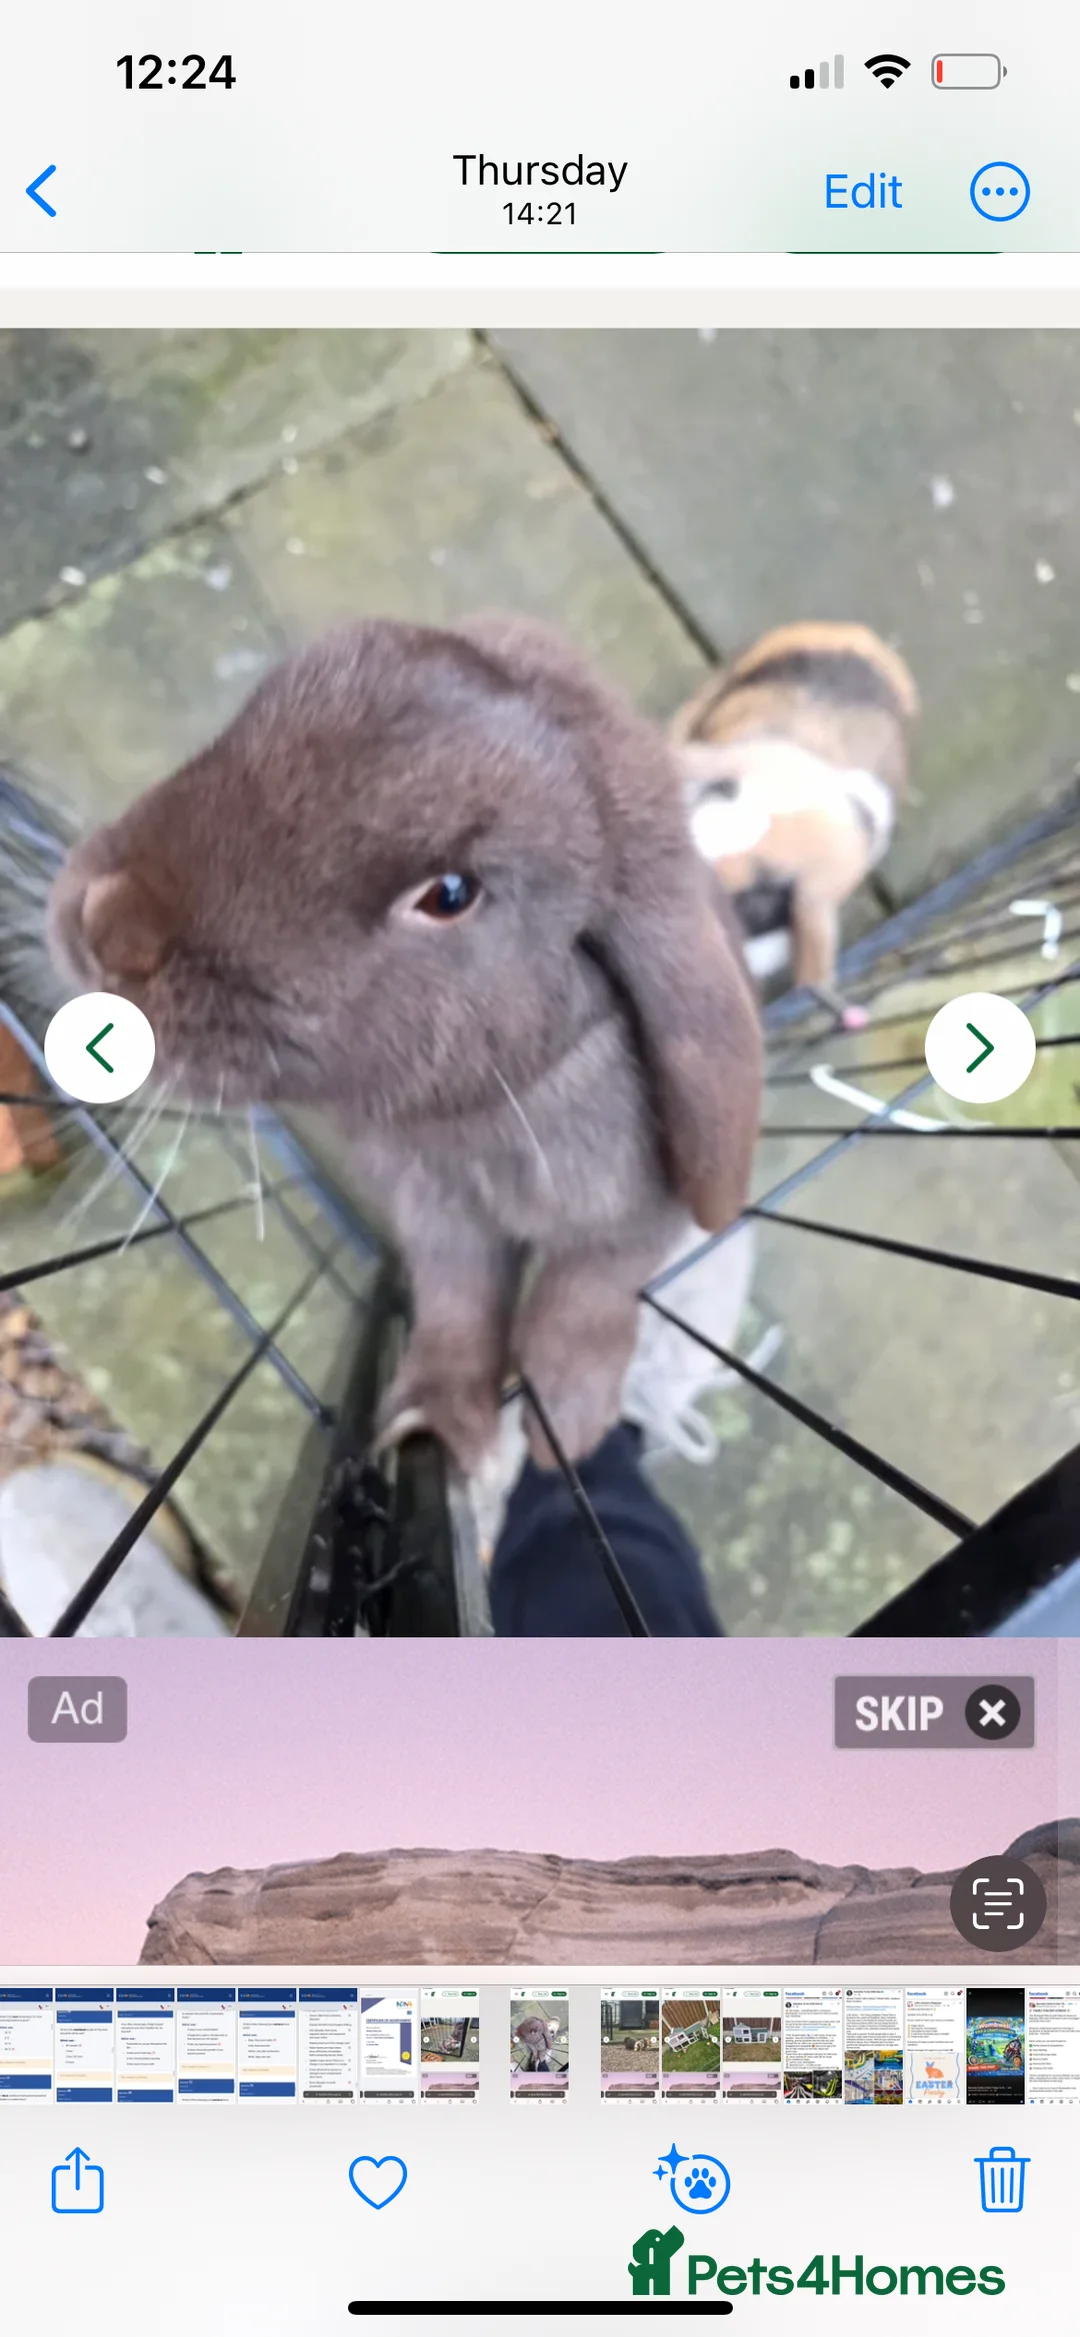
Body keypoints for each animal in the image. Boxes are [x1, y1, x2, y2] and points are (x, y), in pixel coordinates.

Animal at [47, 613, 762, 1477]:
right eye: (264, 704)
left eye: (449, 894)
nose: (103, 923)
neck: (476, 1114)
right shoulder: (440, 1222)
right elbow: (458, 1309)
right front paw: (431, 1424)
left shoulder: (630, 1218)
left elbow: (582, 1299)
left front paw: (567, 1425)